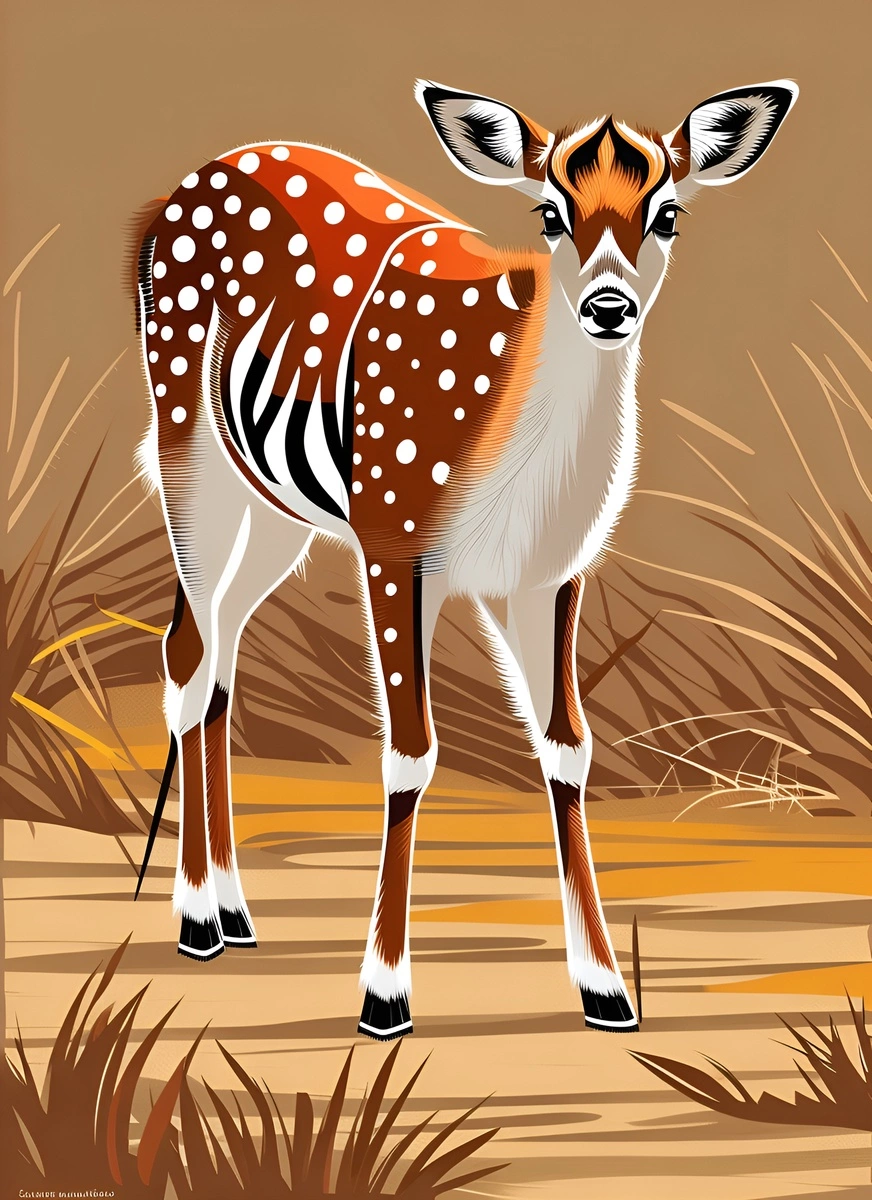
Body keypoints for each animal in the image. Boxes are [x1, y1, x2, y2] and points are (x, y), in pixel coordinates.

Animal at [131, 79, 797, 1040]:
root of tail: (179, 191)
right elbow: (409, 754)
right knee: (185, 656)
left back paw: (235, 911)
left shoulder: (548, 574)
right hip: (189, 448)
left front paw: (607, 991)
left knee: (220, 655)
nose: (608, 307)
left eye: (667, 212)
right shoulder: (392, 544)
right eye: (549, 212)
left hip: (277, 510)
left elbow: (568, 749)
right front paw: (384, 997)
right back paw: (194, 921)